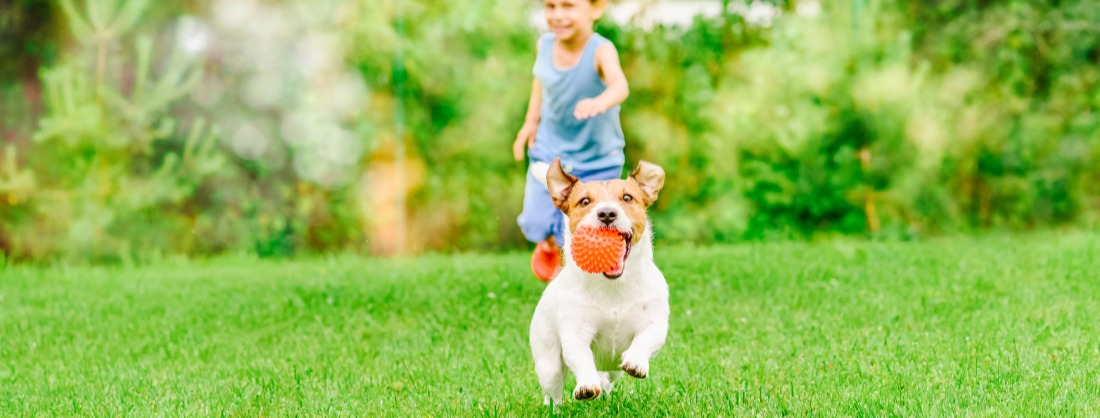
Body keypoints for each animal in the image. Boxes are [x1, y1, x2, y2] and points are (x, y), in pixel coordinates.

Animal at [525, 156, 668, 404]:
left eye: (627, 197)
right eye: (584, 201)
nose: (607, 213)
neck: (613, 286)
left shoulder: (656, 321)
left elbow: (647, 338)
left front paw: (636, 362)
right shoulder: (575, 331)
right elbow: (581, 357)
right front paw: (586, 385)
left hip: (612, 369)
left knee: (608, 377)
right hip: (548, 363)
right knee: (552, 391)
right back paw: (554, 406)